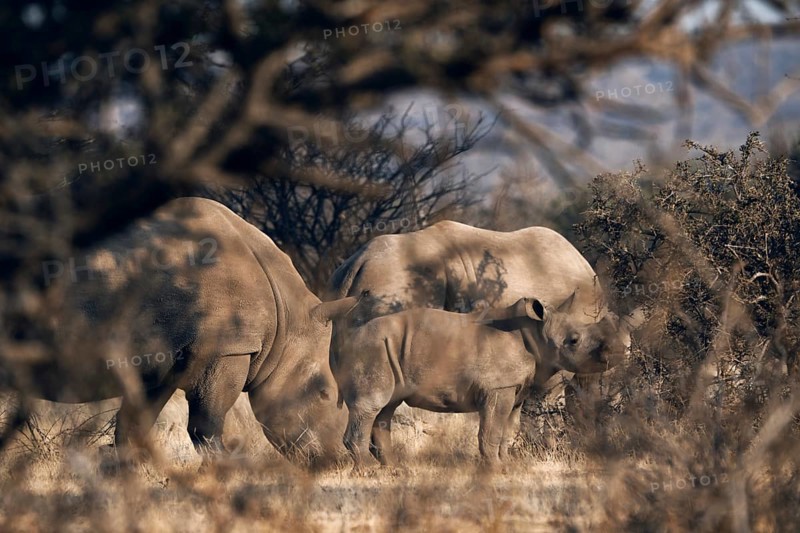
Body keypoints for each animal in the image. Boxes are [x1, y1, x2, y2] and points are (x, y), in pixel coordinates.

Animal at [16, 197, 355, 464]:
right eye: (324, 393)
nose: (338, 461)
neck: (288, 318)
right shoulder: (227, 347)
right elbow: (207, 425)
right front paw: (223, 474)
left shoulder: (161, 363)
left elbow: (133, 425)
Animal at [334, 294, 629, 467]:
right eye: (574, 341)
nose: (619, 351)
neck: (536, 333)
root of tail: (344, 342)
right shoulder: (498, 387)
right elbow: (492, 429)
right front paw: (494, 468)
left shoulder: (515, 389)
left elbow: (508, 431)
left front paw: (507, 465)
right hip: (371, 348)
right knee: (371, 405)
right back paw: (369, 470)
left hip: (386, 348)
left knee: (386, 408)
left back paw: (395, 468)